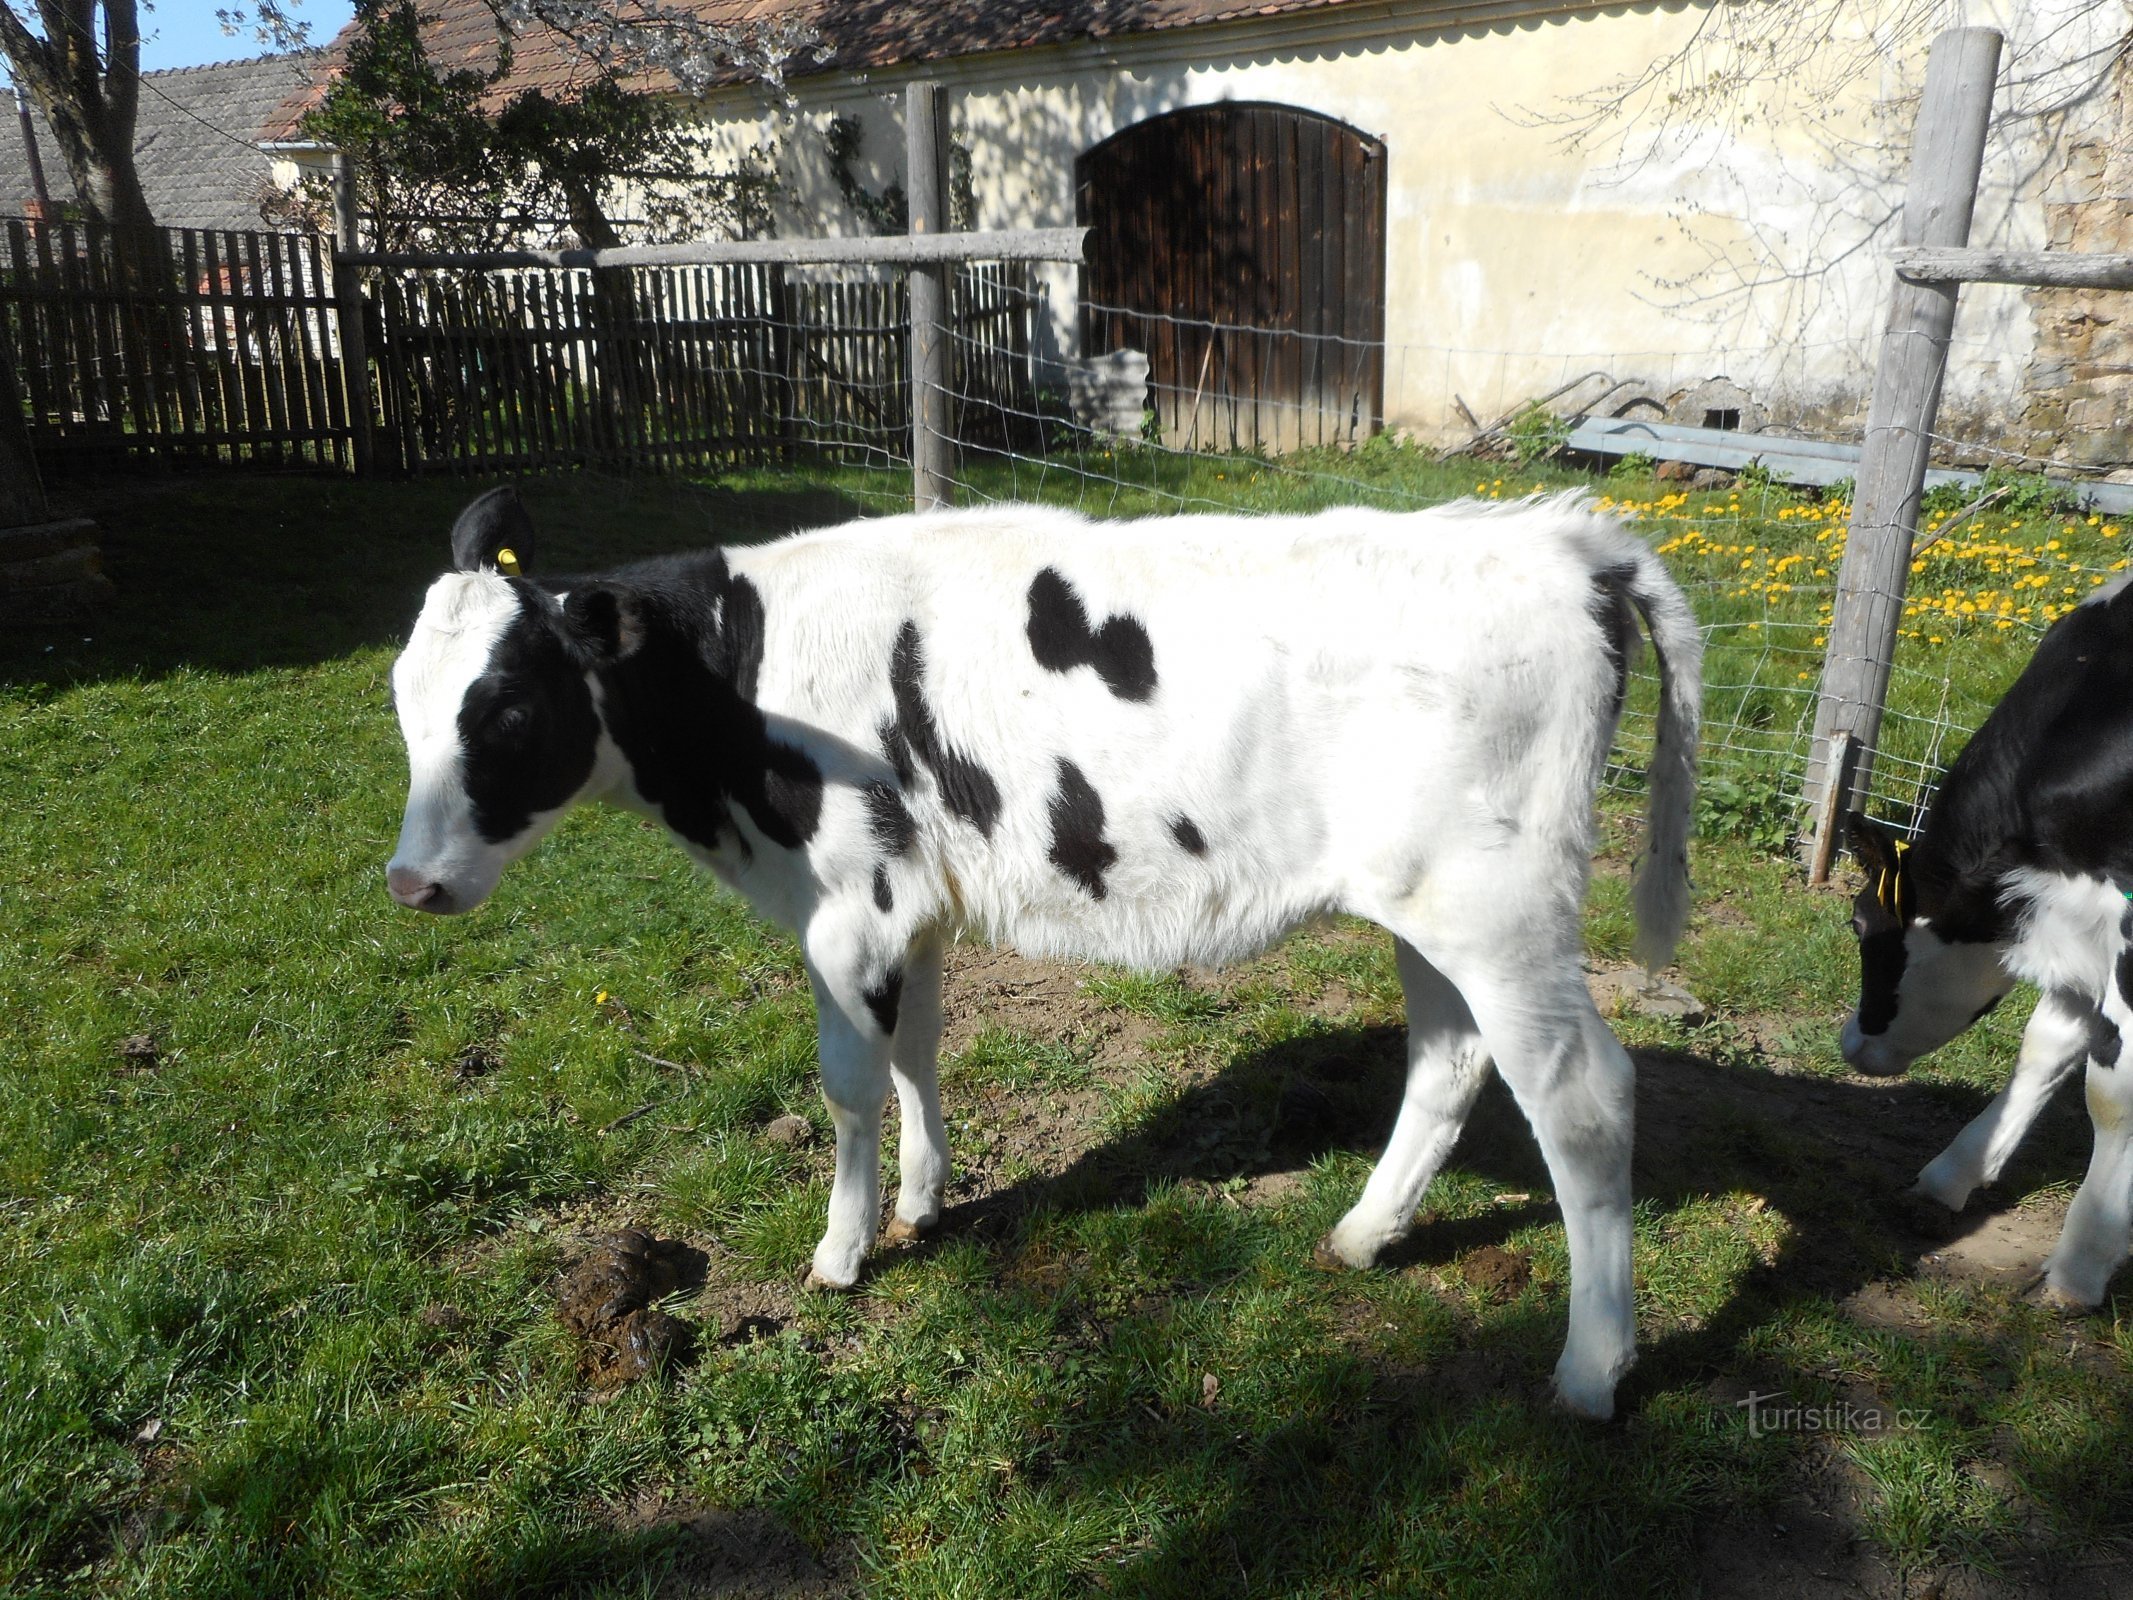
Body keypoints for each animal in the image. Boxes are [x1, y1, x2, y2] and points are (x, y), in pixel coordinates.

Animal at [392, 486, 1706, 1416]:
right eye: (403, 698)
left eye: (508, 709)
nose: (411, 881)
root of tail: (1564, 540)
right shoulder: (914, 904)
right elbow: (919, 1053)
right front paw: (923, 1202)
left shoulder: (852, 901)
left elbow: (851, 1083)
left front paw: (841, 1250)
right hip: (1426, 905)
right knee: (1446, 1058)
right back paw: (1362, 1236)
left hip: (1502, 909)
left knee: (1585, 1098)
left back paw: (1591, 1369)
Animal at [1842, 584, 2133, 1305]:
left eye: (1859, 923)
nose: (1850, 1043)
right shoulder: (2077, 930)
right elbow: (2044, 1046)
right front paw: (1951, 1175)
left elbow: (2111, 1095)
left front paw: (2080, 1265)